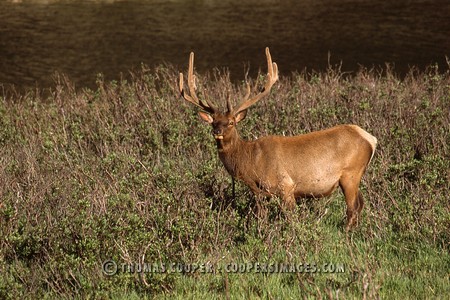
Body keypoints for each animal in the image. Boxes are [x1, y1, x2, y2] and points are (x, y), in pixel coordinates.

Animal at [178, 47, 378, 230]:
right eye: (213, 122)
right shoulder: (260, 193)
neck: (250, 164)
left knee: (353, 208)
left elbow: (291, 219)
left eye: (231, 123)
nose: (217, 131)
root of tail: (371, 139)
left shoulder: (286, 186)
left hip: (351, 173)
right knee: (360, 204)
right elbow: (260, 216)